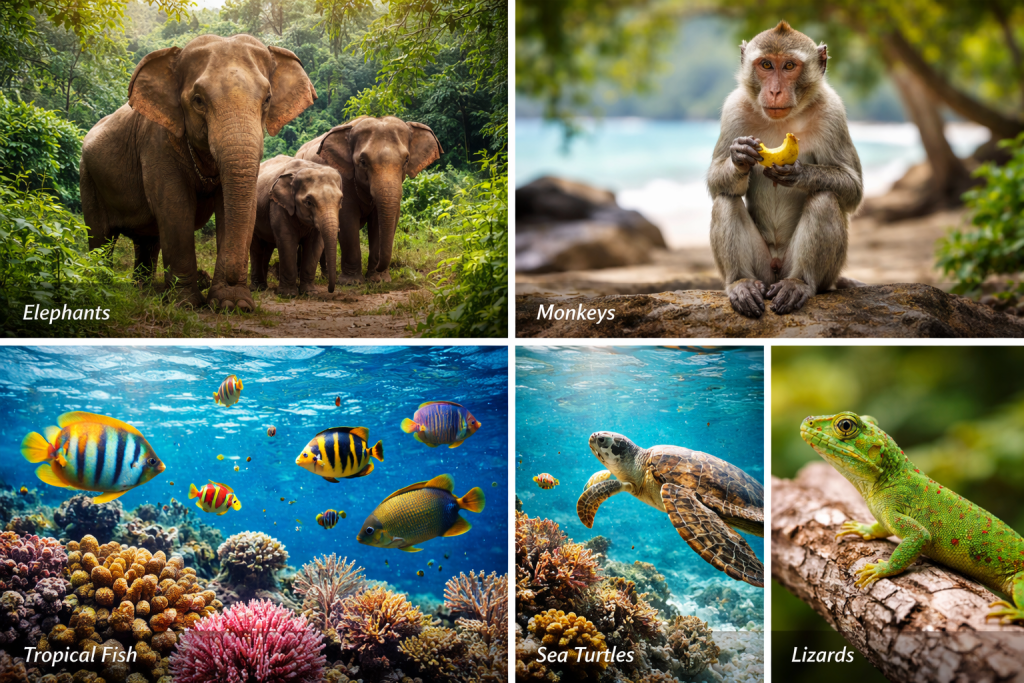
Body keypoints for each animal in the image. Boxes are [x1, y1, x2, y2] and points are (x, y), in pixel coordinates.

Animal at [80, 34, 317, 311]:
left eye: (267, 99)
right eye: (198, 101)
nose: (235, 275)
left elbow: (231, 207)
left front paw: (232, 305)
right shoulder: (157, 143)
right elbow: (175, 207)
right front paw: (186, 304)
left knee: (147, 240)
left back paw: (144, 290)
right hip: (88, 177)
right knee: (101, 237)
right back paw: (103, 285)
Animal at [250, 156, 343, 296]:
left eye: (341, 200)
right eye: (309, 202)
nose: (330, 289)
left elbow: (314, 244)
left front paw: (310, 293)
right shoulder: (278, 205)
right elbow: (287, 241)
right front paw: (288, 295)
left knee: (267, 248)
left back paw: (263, 286)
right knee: (257, 248)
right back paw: (257, 288)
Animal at [295, 116, 442, 284]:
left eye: (406, 160)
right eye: (363, 162)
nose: (379, 267)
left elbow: (380, 221)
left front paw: (378, 280)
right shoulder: (343, 178)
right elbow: (347, 220)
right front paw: (351, 282)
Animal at [707, 21, 864, 318]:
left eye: (789, 66)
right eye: (767, 65)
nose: (775, 91)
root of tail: (777, 270)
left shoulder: (833, 112)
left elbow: (853, 189)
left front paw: (799, 173)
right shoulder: (734, 108)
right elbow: (714, 182)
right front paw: (739, 157)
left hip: (821, 273)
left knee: (825, 198)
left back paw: (798, 283)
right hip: (763, 270)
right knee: (725, 199)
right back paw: (741, 282)